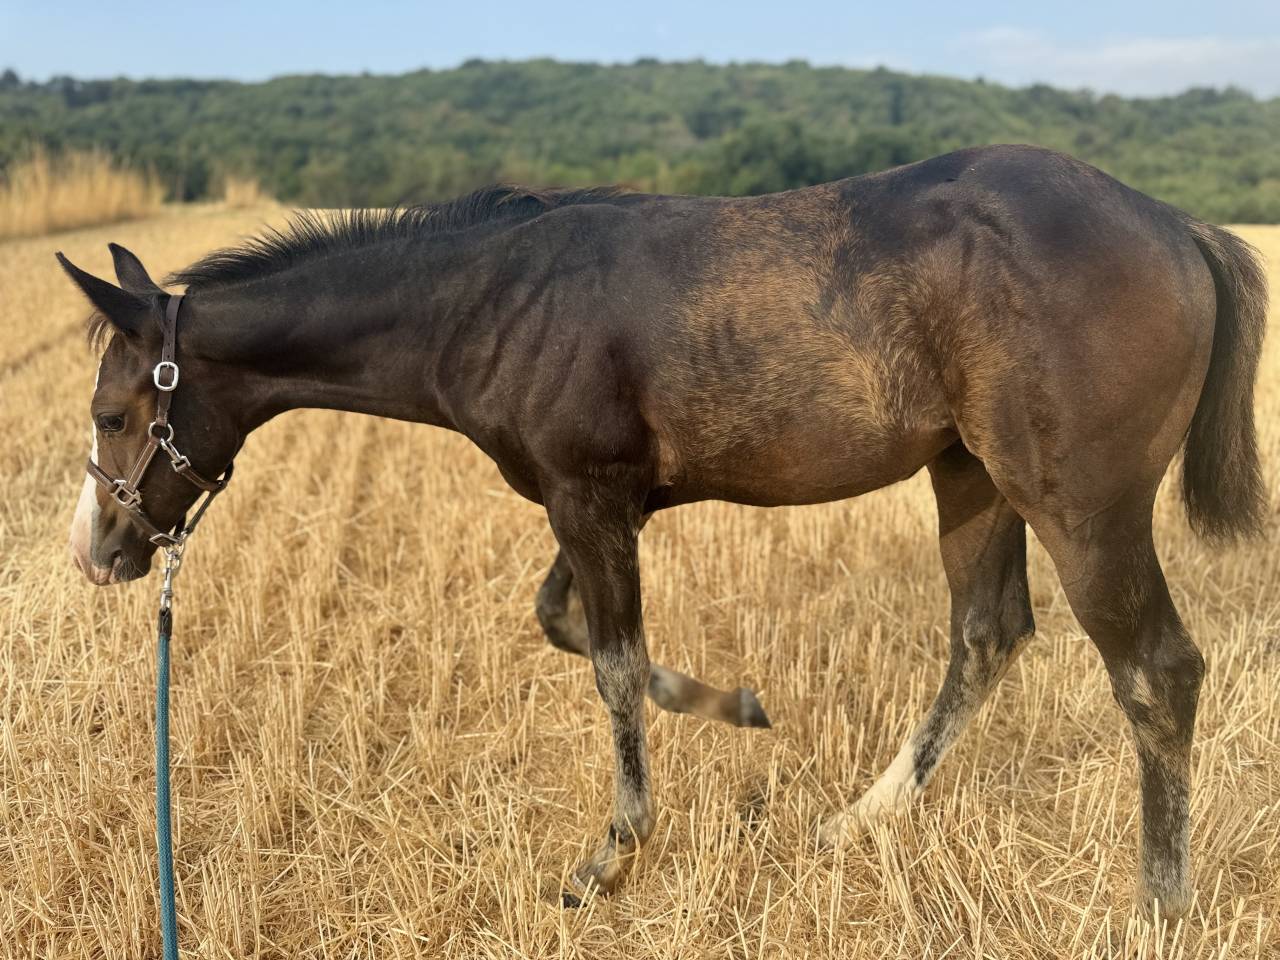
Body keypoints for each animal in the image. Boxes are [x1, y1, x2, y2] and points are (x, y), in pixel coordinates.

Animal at [62, 144, 1267, 918]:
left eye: (112, 413)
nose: (99, 553)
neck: (490, 299)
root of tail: (1179, 228)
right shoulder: (589, 498)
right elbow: (573, 629)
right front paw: (735, 707)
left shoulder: (588, 497)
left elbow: (608, 663)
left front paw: (610, 859)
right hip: (968, 475)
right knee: (986, 634)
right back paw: (859, 822)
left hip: (1078, 503)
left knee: (1155, 671)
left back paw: (1158, 908)